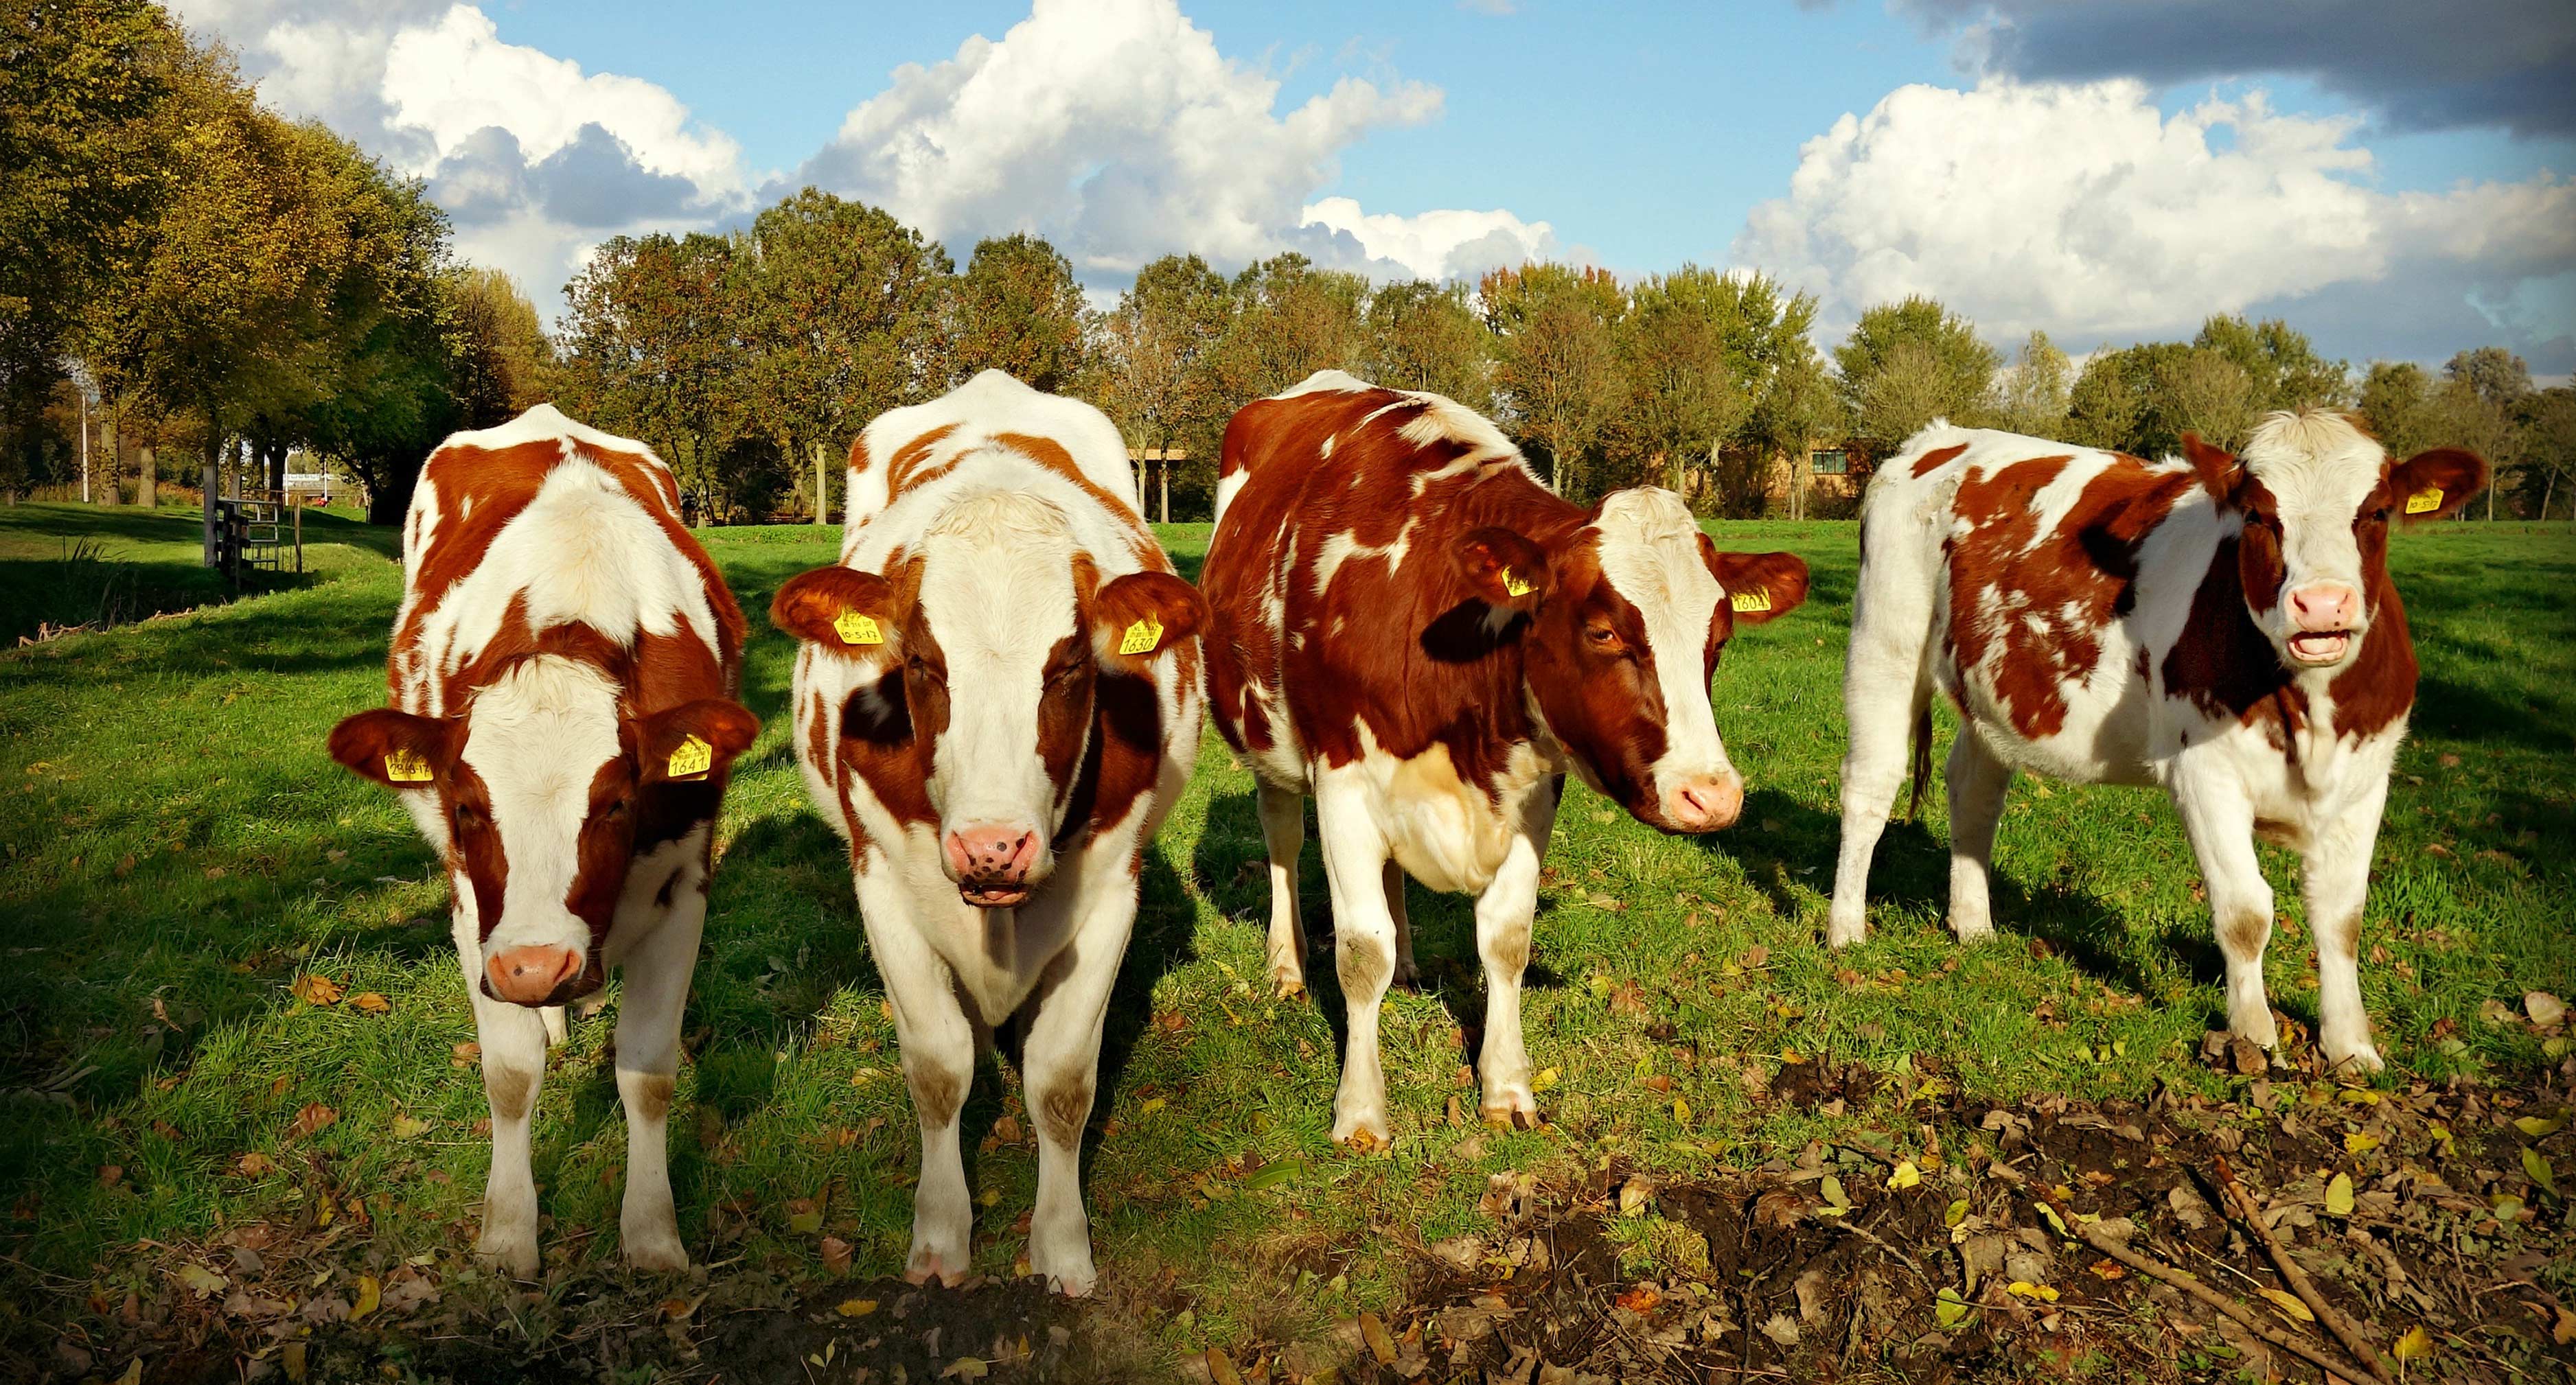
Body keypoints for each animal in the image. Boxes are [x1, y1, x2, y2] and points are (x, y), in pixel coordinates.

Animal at [317, 401, 752, 1271]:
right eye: (467, 806)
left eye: (616, 802)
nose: (535, 966)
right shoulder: (471, 909)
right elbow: (513, 1073)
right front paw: (507, 1231)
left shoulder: (685, 885)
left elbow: (647, 1070)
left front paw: (652, 1232)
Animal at [762, 368, 1205, 1292]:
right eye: (922, 662)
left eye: (1068, 665)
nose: (993, 847)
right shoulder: (881, 881)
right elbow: (938, 1067)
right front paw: (939, 1233)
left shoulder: (1113, 887)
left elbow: (1062, 1081)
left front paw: (1062, 1242)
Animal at [1200, 365, 1813, 1143]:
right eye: (1602, 630)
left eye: (1720, 638)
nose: (1711, 795)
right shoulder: (1341, 779)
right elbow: (1360, 953)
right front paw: (1361, 1112)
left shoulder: (1531, 791)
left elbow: (1506, 941)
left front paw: (1507, 1087)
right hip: (1266, 739)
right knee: (1281, 837)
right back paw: (1285, 966)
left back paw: (1409, 965)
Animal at [1824, 404, 2483, 1071]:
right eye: (2257, 514)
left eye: (2377, 512)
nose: (2322, 605)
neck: (2311, 708)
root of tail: (1935, 438)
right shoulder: (2206, 775)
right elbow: (2246, 912)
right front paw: (2252, 1036)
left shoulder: (2367, 780)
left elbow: (2341, 918)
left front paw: (2352, 1046)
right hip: (1885, 643)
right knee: (1870, 788)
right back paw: (1847, 929)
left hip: (1993, 686)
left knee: (1974, 789)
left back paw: (1974, 925)